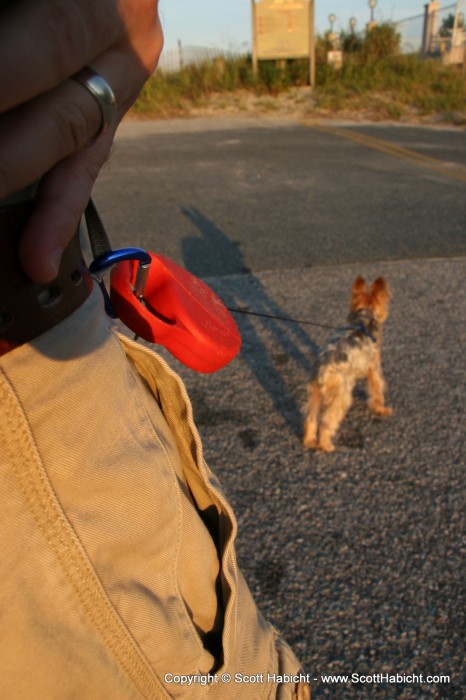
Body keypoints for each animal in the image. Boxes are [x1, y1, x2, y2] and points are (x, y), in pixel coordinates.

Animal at [304, 276, 392, 452]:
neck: (364, 320)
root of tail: (324, 371)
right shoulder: (374, 367)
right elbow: (377, 389)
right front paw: (382, 409)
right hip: (342, 395)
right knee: (326, 421)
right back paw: (326, 445)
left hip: (315, 391)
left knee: (311, 417)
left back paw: (309, 441)